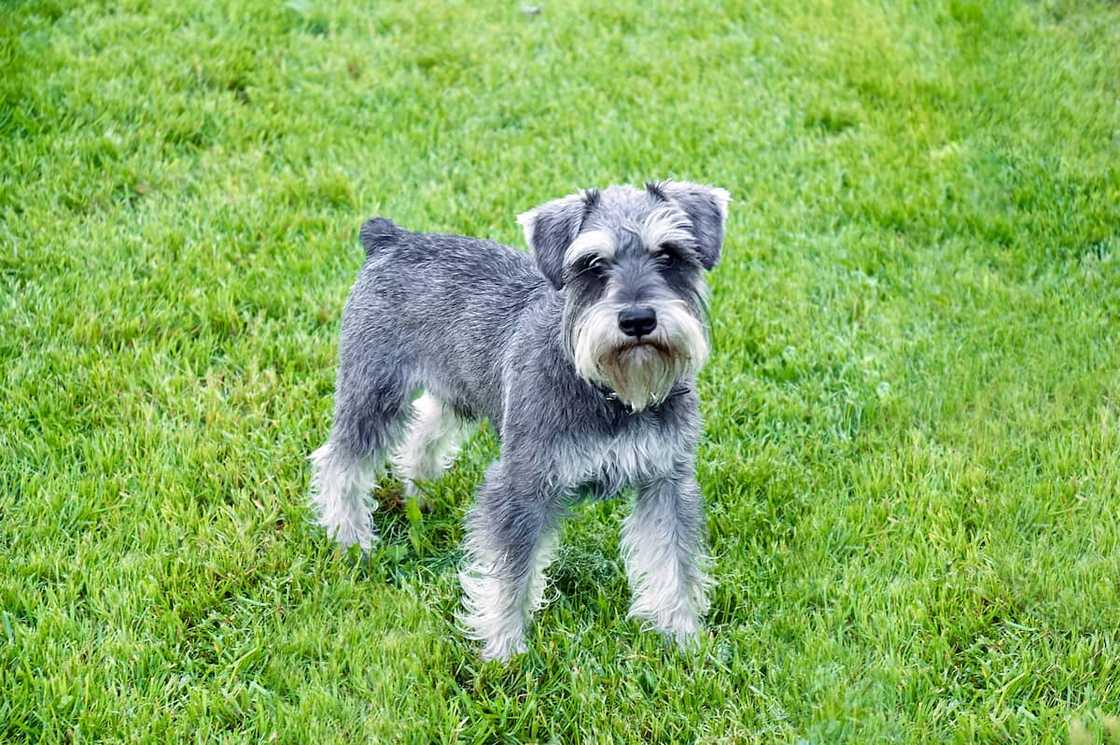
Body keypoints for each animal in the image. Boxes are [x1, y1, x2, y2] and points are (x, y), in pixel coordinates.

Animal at [309, 182, 725, 658]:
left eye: (670, 255)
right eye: (593, 264)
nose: (637, 320)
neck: (610, 390)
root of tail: (390, 238)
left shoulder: (666, 481)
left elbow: (674, 562)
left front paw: (685, 639)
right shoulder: (523, 484)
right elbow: (510, 574)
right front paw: (503, 650)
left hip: (457, 392)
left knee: (423, 428)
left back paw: (420, 491)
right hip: (374, 392)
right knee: (340, 461)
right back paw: (350, 539)